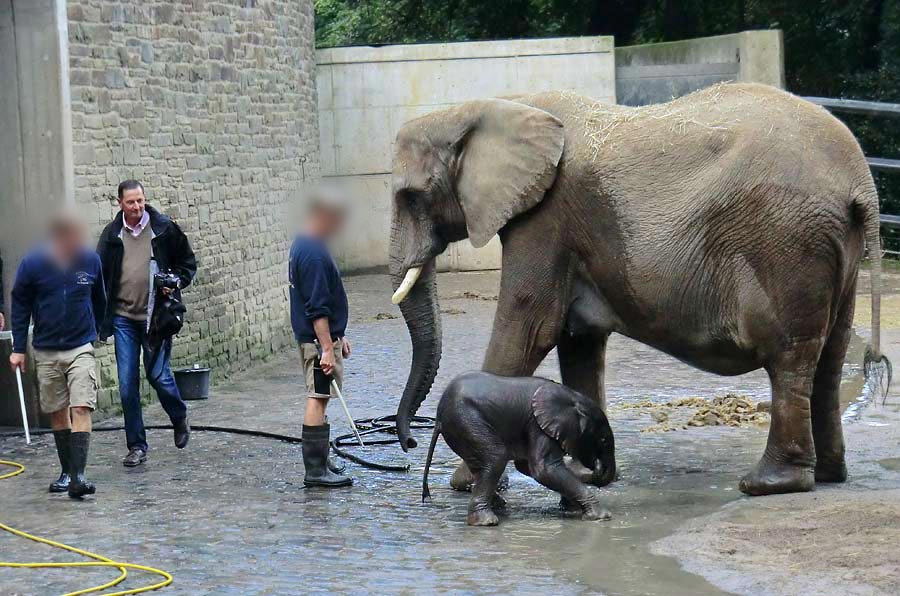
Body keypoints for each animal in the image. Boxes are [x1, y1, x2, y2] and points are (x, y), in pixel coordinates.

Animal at [386, 81, 884, 496]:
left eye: (410, 197)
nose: (407, 445)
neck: (494, 105)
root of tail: (861, 180)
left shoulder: (545, 220)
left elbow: (529, 329)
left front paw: (465, 482)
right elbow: (578, 341)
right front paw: (589, 473)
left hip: (786, 243)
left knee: (790, 358)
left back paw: (768, 484)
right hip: (832, 249)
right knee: (830, 356)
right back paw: (827, 475)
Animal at [426, 372, 616, 528]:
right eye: (603, 440)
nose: (597, 465)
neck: (573, 398)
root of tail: (438, 418)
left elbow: (527, 466)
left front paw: (572, 509)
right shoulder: (538, 425)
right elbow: (543, 469)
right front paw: (601, 516)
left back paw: (498, 505)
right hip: (468, 421)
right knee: (496, 458)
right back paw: (486, 521)